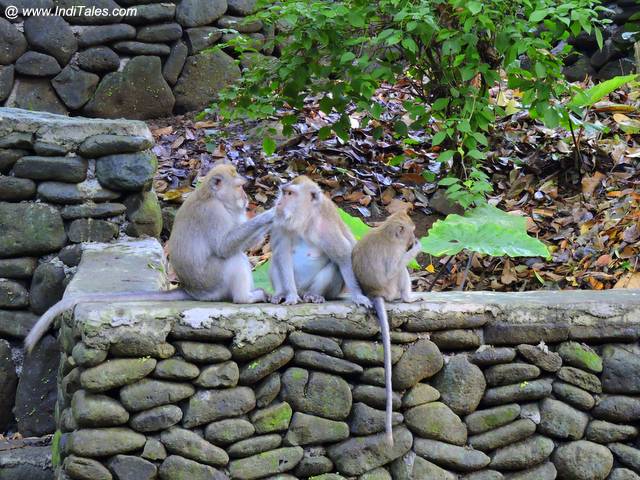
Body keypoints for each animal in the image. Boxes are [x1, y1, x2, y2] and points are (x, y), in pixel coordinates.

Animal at [23, 165, 274, 352]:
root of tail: (191, 289)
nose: (246, 198)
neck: (214, 197)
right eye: (239, 187)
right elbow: (225, 247)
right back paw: (245, 298)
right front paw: (269, 215)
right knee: (233, 259)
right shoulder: (213, 214)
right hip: (212, 282)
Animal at [268, 176, 370, 308]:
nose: (279, 203)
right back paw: (281, 293)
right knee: (276, 258)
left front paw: (358, 295)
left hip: (330, 291)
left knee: (335, 265)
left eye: (290, 194)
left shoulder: (327, 228)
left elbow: (344, 256)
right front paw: (291, 295)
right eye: (284, 193)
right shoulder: (280, 225)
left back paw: (314, 295)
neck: (305, 222)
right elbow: (283, 256)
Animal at [352, 212, 422, 444]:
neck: (386, 232)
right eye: (412, 230)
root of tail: (374, 293)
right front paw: (417, 247)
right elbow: (395, 267)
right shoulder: (394, 252)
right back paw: (408, 298)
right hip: (391, 289)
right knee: (400, 271)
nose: (414, 238)